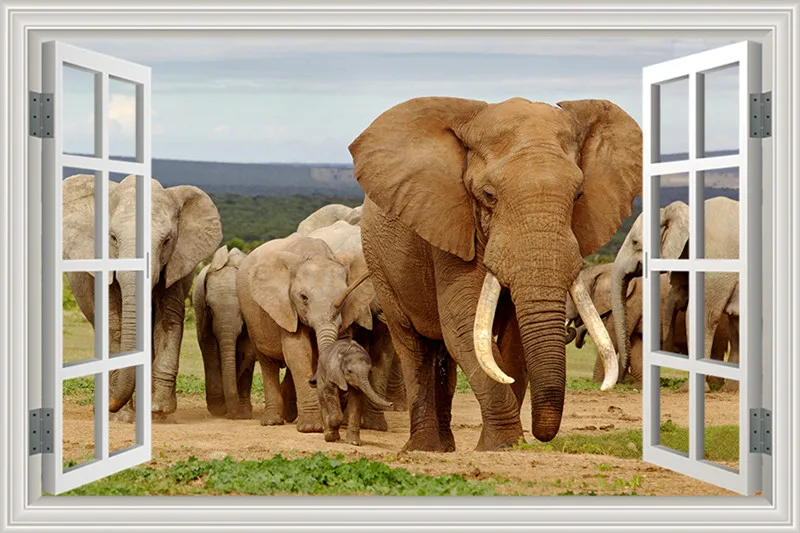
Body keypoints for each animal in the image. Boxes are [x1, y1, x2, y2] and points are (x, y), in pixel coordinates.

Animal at [62, 174, 222, 419]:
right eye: (113, 238)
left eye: (166, 241)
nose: (111, 406)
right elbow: (114, 325)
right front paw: (121, 417)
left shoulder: (174, 265)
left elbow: (168, 321)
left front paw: (160, 411)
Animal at [236, 234, 374, 432]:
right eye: (304, 298)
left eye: (345, 295)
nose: (313, 381)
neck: (315, 254)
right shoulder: (287, 307)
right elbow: (298, 353)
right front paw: (311, 427)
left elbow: (314, 354)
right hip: (252, 319)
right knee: (267, 362)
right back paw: (272, 421)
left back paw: (288, 416)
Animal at [350, 96, 642, 451]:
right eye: (489, 195)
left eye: (578, 196)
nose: (541, 436)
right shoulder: (451, 224)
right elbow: (462, 324)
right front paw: (502, 446)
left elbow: (513, 339)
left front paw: (507, 447)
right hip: (379, 263)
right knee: (413, 344)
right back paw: (423, 448)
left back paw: (446, 448)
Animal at [611, 197, 740, 389]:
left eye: (634, 242)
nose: (622, 380)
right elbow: (736, 320)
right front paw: (729, 390)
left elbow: (704, 315)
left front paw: (689, 389)